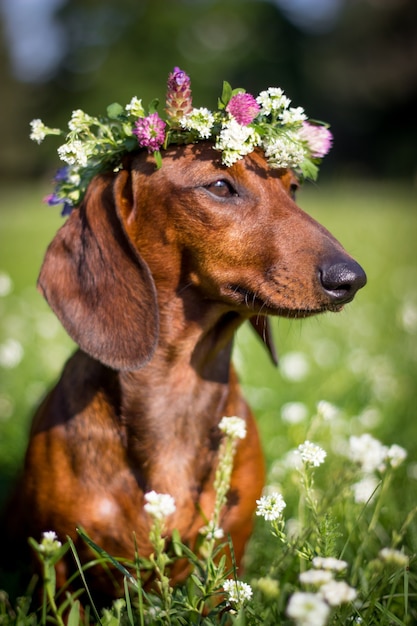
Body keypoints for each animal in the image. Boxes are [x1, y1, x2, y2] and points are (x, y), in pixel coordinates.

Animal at [5, 141, 364, 600]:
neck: (176, 391)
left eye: (293, 188)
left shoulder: (228, 554)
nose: (351, 279)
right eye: (220, 186)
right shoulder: (62, 564)